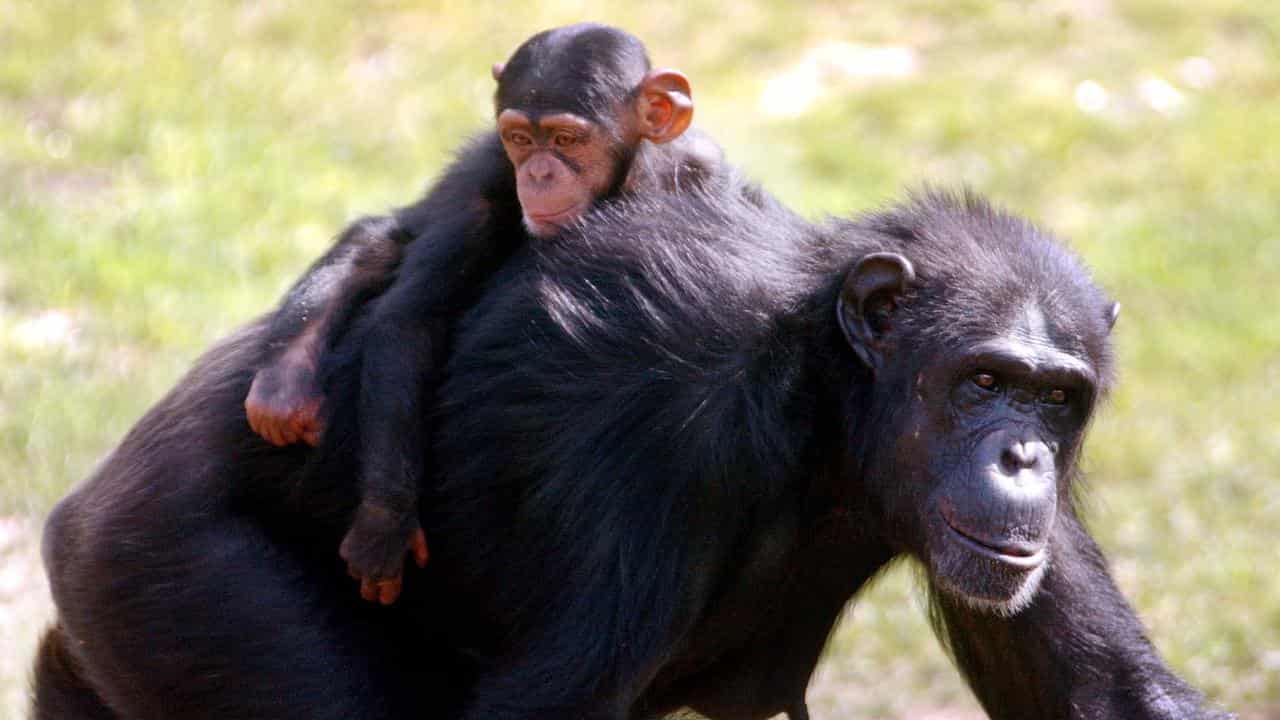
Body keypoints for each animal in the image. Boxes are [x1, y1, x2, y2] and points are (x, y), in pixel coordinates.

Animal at [240, 23, 737, 599]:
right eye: (520, 138)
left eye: (565, 139)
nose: (539, 172)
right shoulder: (486, 174)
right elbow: (412, 319)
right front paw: (385, 524)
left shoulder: (708, 174)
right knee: (379, 241)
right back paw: (286, 376)